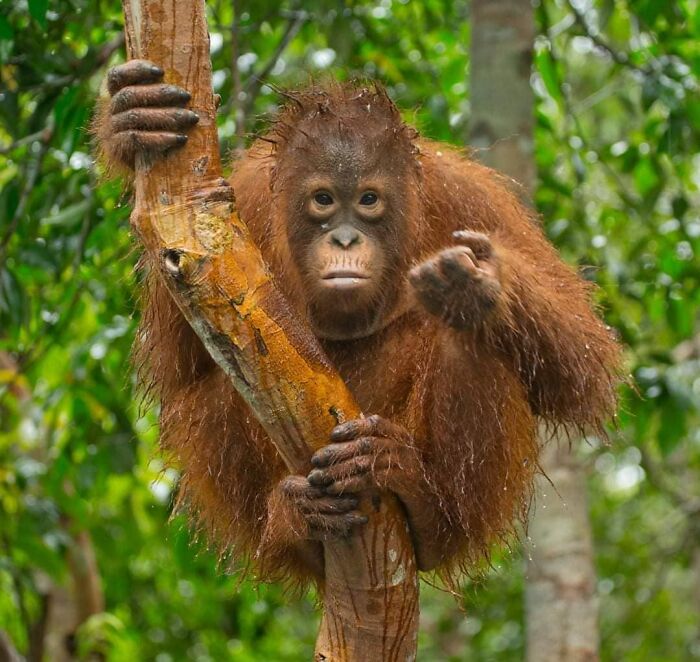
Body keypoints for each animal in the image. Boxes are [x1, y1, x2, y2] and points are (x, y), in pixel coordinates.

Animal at [96, 59, 622, 586]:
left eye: (368, 200)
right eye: (324, 200)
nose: (346, 240)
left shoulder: (472, 199)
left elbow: (582, 363)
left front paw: (482, 283)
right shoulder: (236, 202)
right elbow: (179, 357)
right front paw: (133, 116)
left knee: (466, 341)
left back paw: (418, 495)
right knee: (222, 383)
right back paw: (297, 523)